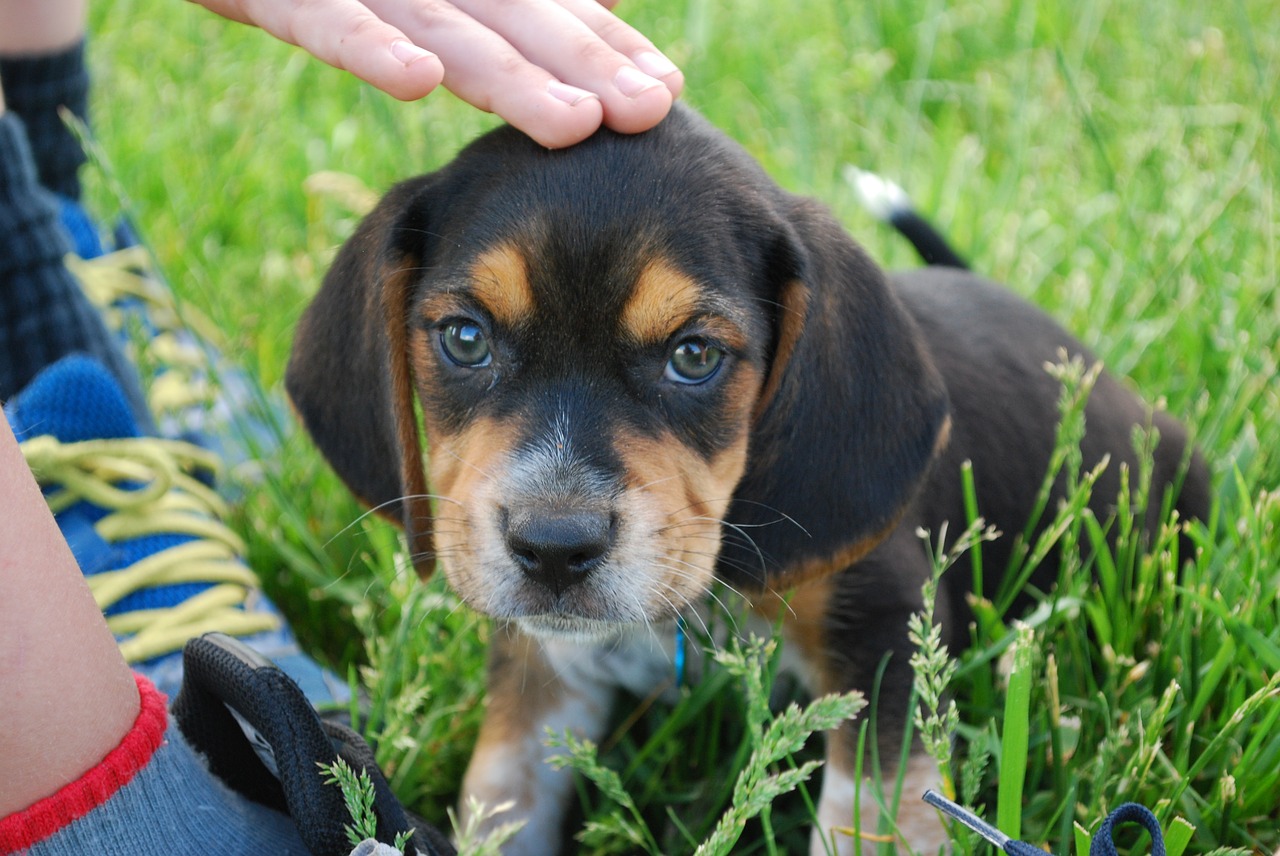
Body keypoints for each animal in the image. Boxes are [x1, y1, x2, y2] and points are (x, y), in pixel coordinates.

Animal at [288, 104, 1208, 854]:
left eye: (694, 355)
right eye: (466, 339)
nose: (552, 548)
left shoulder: (884, 637)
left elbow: (866, 817)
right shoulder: (543, 674)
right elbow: (503, 796)